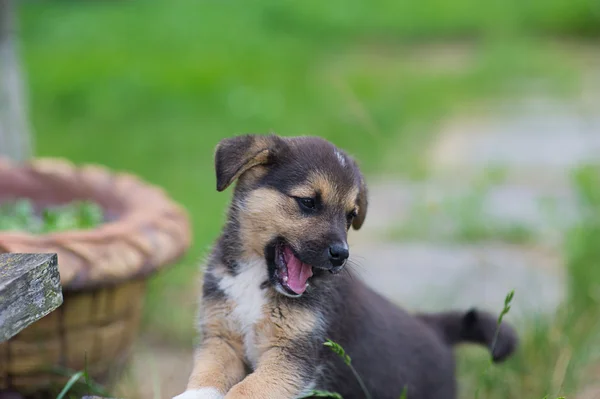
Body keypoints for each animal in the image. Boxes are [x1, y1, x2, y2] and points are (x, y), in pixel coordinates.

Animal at [172, 135, 516, 399]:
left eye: (351, 215)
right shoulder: (221, 339)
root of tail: (436, 329)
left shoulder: (292, 357)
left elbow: (246, 390)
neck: (256, 280)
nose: (341, 255)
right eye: (308, 202)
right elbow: (207, 377)